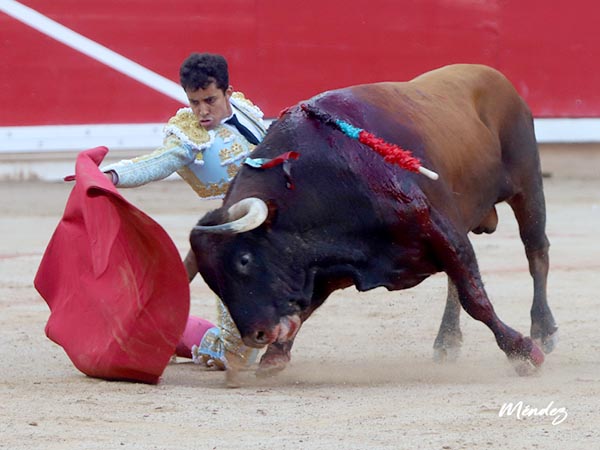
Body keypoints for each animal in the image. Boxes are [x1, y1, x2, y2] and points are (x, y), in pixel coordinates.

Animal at [191, 64, 556, 380]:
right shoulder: (328, 265)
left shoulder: (442, 232)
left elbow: (475, 299)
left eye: (244, 259)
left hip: (527, 185)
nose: (256, 335)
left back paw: (543, 332)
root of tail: (493, 75)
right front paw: (275, 356)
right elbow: (307, 307)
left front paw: (523, 353)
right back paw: (447, 341)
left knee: (536, 252)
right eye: (211, 280)